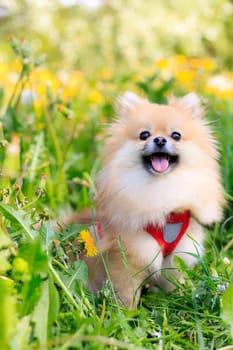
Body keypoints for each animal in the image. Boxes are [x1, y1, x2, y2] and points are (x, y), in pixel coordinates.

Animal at [83, 91, 224, 308]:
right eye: (144, 135)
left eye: (176, 135)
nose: (159, 140)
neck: (161, 189)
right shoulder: (127, 257)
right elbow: (127, 292)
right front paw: (126, 313)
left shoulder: (176, 257)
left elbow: (175, 283)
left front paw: (178, 300)